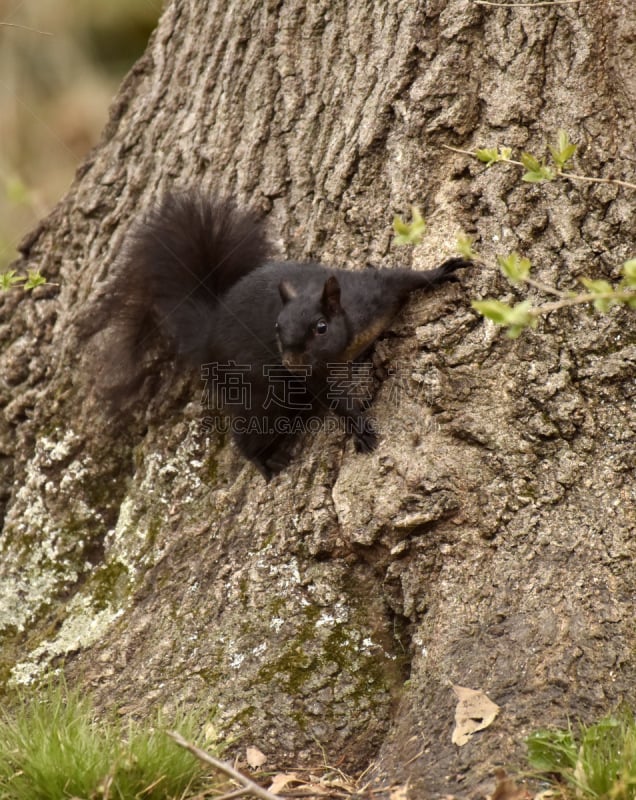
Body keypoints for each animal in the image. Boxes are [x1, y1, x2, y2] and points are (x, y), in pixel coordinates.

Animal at [97, 192, 470, 482]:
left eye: (321, 328)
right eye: (277, 328)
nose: (291, 362)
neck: (347, 340)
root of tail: (209, 334)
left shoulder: (375, 291)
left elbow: (405, 276)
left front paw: (441, 271)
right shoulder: (315, 375)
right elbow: (335, 399)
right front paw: (359, 428)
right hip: (261, 396)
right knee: (247, 435)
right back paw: (265, 460)